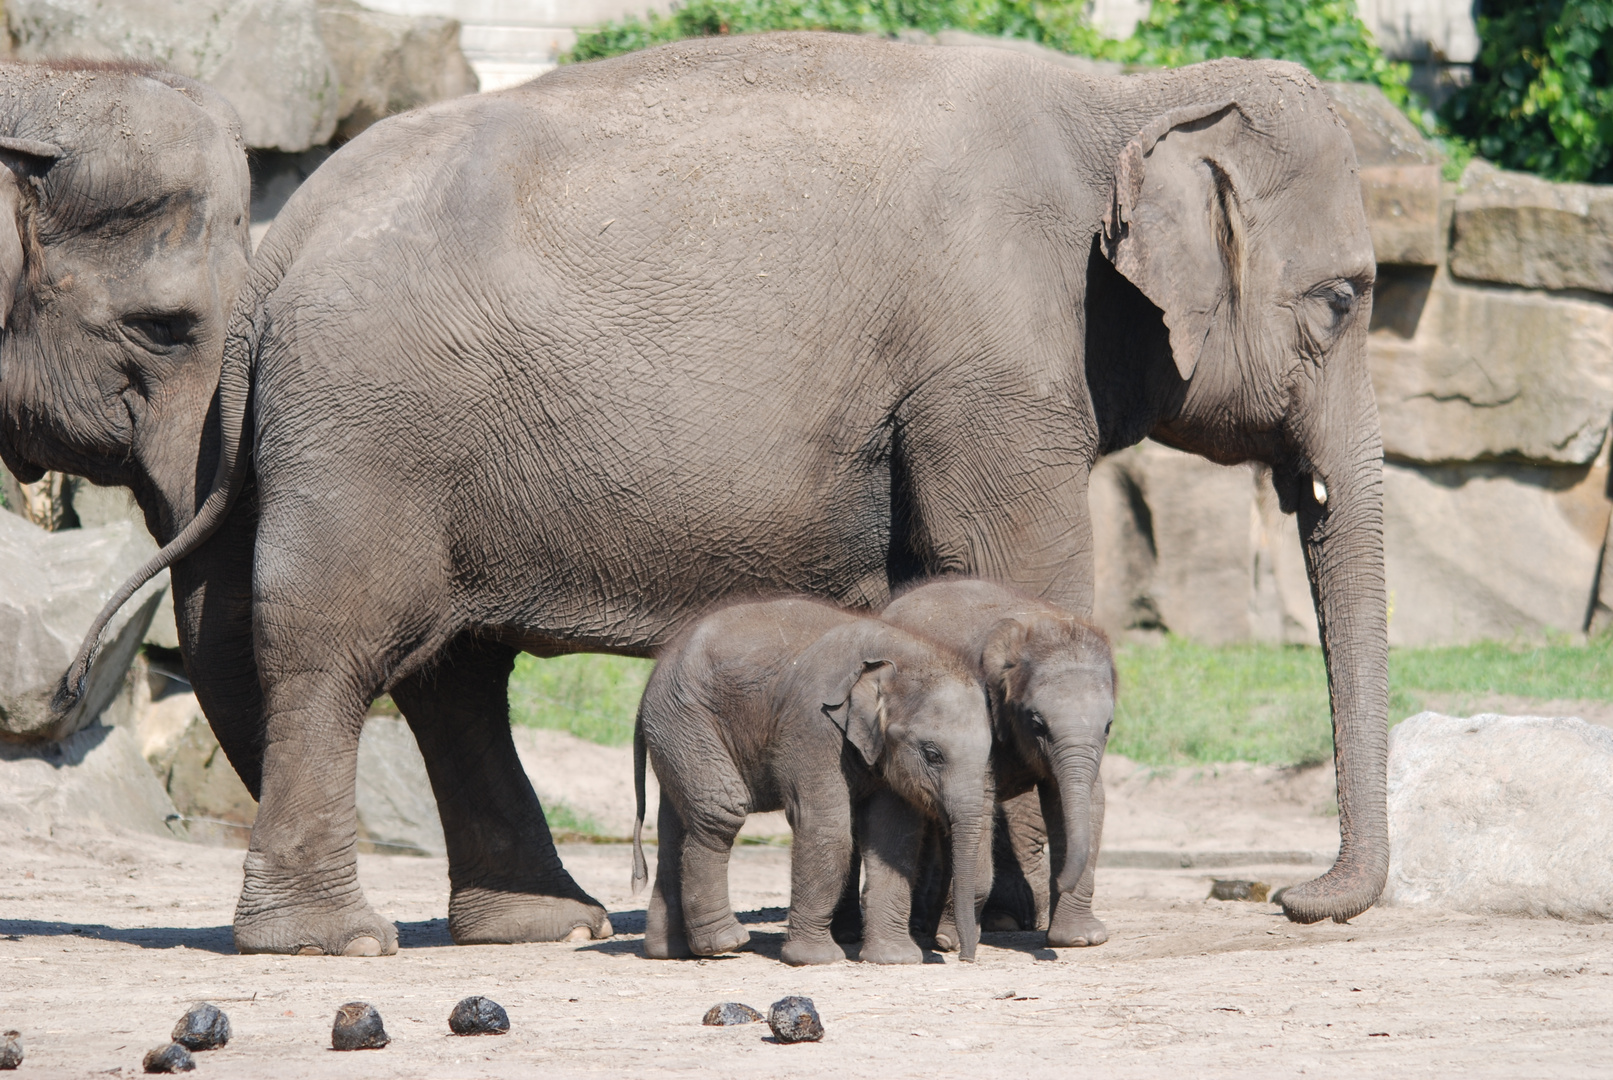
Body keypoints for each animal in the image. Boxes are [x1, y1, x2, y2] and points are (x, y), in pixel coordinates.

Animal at [632, 596, 993, 967]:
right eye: (932, 754)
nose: (962, 957)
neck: (902, 655)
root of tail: (650, 684)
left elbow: (894, 835)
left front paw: (895, 960)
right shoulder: (812, 722)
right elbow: (825, 826)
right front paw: (815, 959)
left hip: (675, 732)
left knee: (674, 827)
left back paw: (668, 952)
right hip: (685, 720)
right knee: (720, 811)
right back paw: (725, 942)